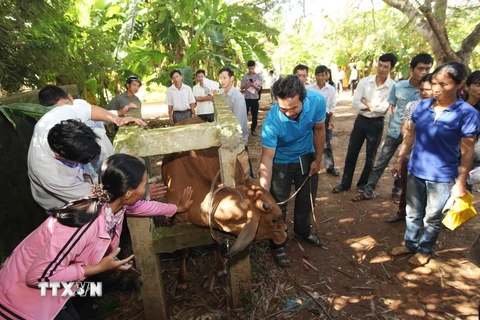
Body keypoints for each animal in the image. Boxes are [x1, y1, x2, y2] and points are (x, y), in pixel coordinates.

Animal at [161, 119, 288, 290]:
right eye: (274, 219)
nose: (284, 231)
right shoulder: (176, 220)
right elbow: (183, 250)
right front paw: (181, 280)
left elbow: (214, 242)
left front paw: (220, 268)